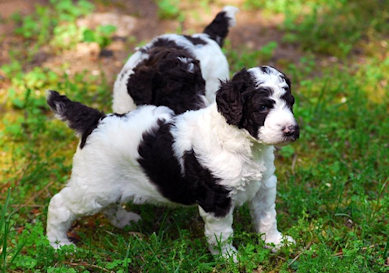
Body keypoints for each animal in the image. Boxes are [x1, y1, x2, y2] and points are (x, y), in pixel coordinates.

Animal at [47, 66, 298, 258]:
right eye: (262, 107)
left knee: (108, 206)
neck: (243, 142)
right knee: (59, 205)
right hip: (93, 186)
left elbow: (267, 217)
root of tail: (96, 119)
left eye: (290, 102)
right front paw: (229, 258)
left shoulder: (264, 186)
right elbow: (222, 234)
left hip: (105, 186)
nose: (291, 130)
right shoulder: (216, 199)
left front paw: (275, 243)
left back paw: (125, 220)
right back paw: (58, 244)